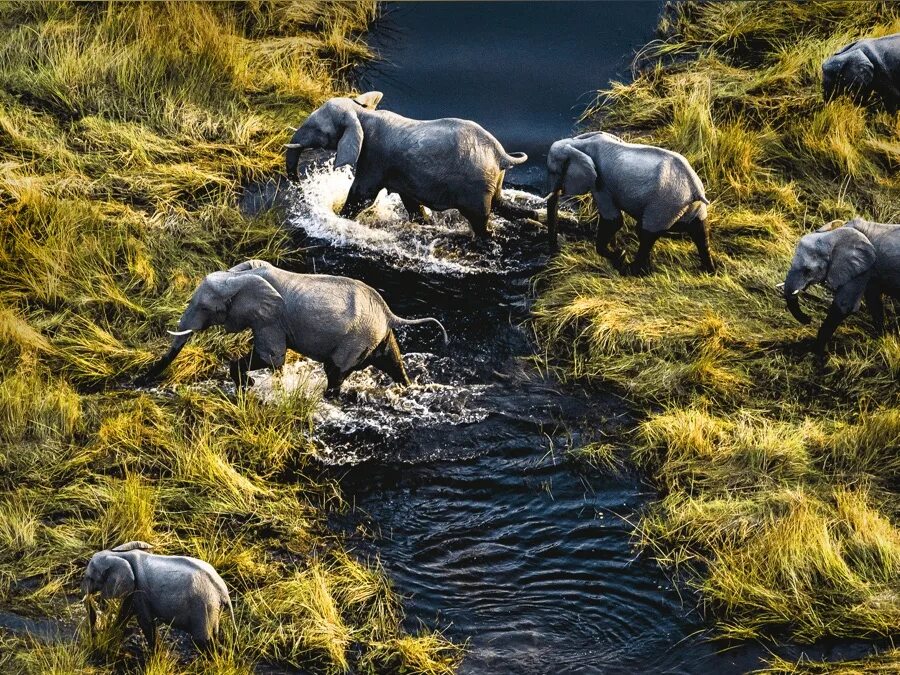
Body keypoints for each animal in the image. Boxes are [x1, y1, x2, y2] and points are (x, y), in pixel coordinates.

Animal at [81, 540, 234, 652]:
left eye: (90, 578)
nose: (94, 635)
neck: (118, 554)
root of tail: (223, 591)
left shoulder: (140, 589)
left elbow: (145, 621)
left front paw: (157, 655)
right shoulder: (134, 589)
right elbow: (126, 611)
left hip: (204, 606)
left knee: (203, 641)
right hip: (212, 607)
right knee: (212, 636)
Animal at [137, 258, 446, 396]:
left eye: (203, 308)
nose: (141, 381)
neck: (237, 276)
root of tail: (388, 313)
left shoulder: (271, 319)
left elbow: (272, 358)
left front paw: (253, 386)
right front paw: (250, 386)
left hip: (356, 338)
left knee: (335, 371)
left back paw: (331, 399)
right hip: (375, 335)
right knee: (393, 361)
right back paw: (409, 389)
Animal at [284, 90, 536, 238]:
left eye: (318, 130)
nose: (299, 186)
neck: (362, 113)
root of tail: (500, 154)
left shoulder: (374, 158)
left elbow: (363, 195)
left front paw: (338, 219)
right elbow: (410, 201)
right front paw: (424, 223)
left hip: (476, 187)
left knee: (480, 221)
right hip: (491, 180)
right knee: (500, 204)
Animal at [540, 131, 712, 276]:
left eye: (553, 171)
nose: (554, 252)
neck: (577, 143)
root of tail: (694, 187)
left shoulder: (600, 183)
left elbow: (614, 221)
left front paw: (619, 256)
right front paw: (617, 253)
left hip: (665, 204)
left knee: (646, 233)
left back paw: (633, 272)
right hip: (685, 205)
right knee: (699, 231)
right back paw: (706, 271)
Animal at [780, 220, 900, 360]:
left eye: (807, 270)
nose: (809, 319)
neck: (835, 234)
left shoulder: (862, 269)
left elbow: (844, 306)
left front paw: (816, 354)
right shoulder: (868, 270)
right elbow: (873, 302)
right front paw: (882, 338)